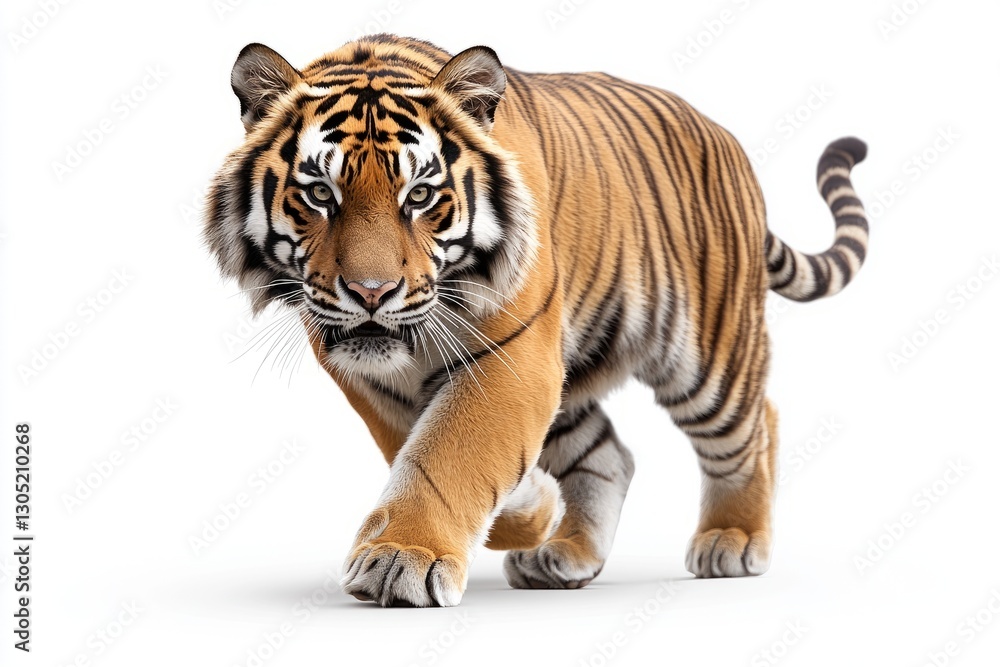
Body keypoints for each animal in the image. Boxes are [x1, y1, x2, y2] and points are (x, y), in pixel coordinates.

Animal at [203, 34, 869, 607]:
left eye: (419, 196)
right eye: (320, 193)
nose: (372, 292)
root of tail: (724, 135)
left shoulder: (512, 354)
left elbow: (450, 452)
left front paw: (402, 559)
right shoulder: (367, 374)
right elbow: (419, 448)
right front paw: (531, 507)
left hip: (708, 351)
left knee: (755, 424)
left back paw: (733, 540)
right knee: (611, 455)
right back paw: (566, 551)